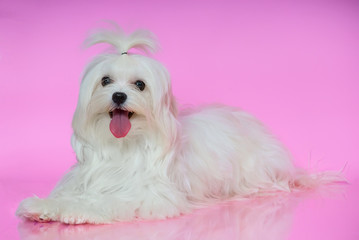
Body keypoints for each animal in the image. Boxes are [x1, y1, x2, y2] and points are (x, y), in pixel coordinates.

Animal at [16, 24, 342, 225]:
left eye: (140, 85)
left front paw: (76, 211)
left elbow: (103, 202)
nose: (119, 95)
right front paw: (43, 207)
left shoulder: (145, 195)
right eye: (105, 81)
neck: (124, 147)